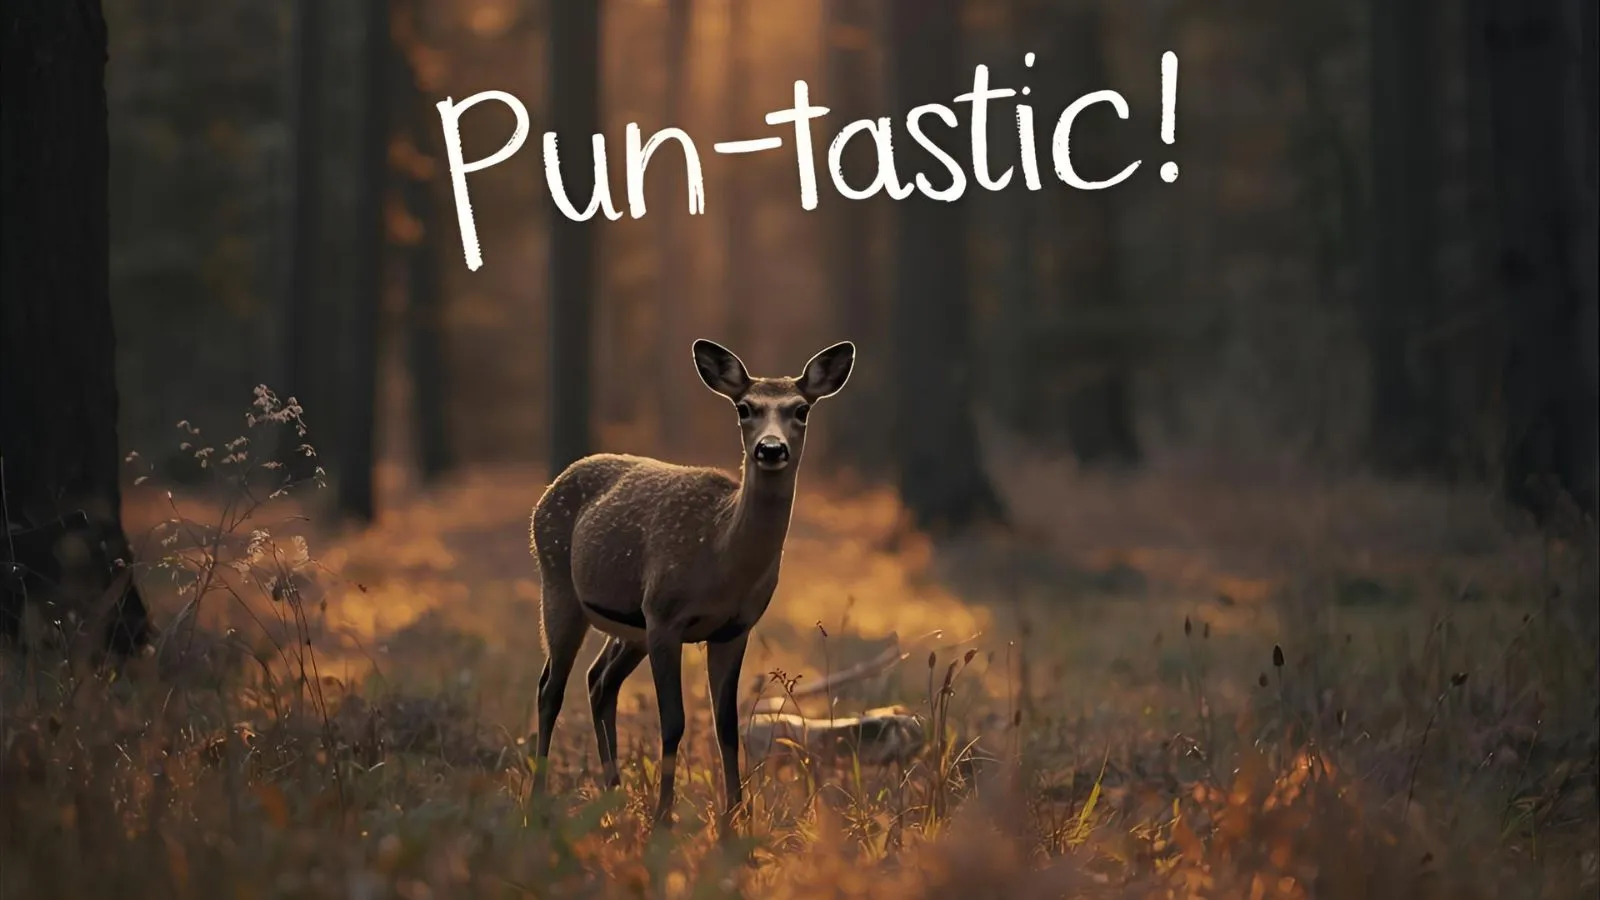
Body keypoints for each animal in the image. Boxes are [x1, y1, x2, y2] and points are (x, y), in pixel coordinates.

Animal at [529, 338, 855, 833]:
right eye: (745, 408)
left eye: (801, 409)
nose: (770, 449)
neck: (720, 557)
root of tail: (549, 490)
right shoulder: (666, 615)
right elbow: (674, 721)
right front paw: (664, 818)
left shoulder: (734, 628)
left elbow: (726, 725)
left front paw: (735, 819)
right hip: (559, 586)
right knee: (551, 687)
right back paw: (537, 801)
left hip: (629, 626)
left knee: (599, 681)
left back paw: (614, 796)